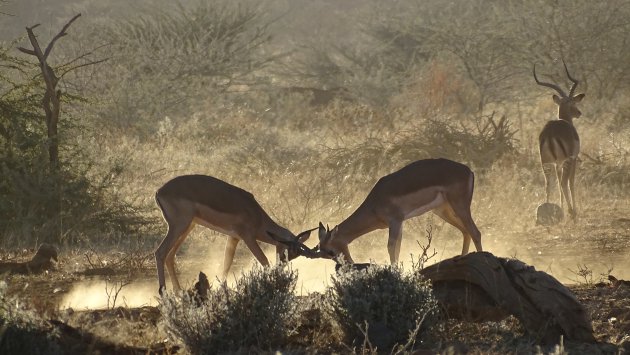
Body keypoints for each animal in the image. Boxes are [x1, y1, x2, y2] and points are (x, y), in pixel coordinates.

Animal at [155, 175, 316, 294]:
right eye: (287, 250)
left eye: (295, 255)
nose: (281, 267)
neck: (257, 215)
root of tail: (159, 191)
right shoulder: (247, 237)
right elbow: (264, 261)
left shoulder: (234, 237)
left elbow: (227, 263)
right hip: (179, 226)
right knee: (160, 252)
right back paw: (163, 293)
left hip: (187, 227)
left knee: (170, 256)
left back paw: (178, 291)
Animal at [296, 159, 484, 264]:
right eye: (325, 254)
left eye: (330, 251)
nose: (346, 264)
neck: (375, 202)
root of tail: (469, 170)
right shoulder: (399, 224)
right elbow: (398, 248)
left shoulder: (395, 221)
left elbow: (391, 247)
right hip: (443, 211)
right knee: (466, 231)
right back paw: (460, 258)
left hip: (460, 206)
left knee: (475, 232)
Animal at [540, 61, 588, 220]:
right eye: (573, 102)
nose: (579, 113)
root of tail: (550, 133)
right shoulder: (573, 158)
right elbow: (571, 183)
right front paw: (573, 210)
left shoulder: (557, 163)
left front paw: (560, 207)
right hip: (566, 161)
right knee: (563, 182)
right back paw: (572, 212)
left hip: (545, 162)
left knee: (548, 184)